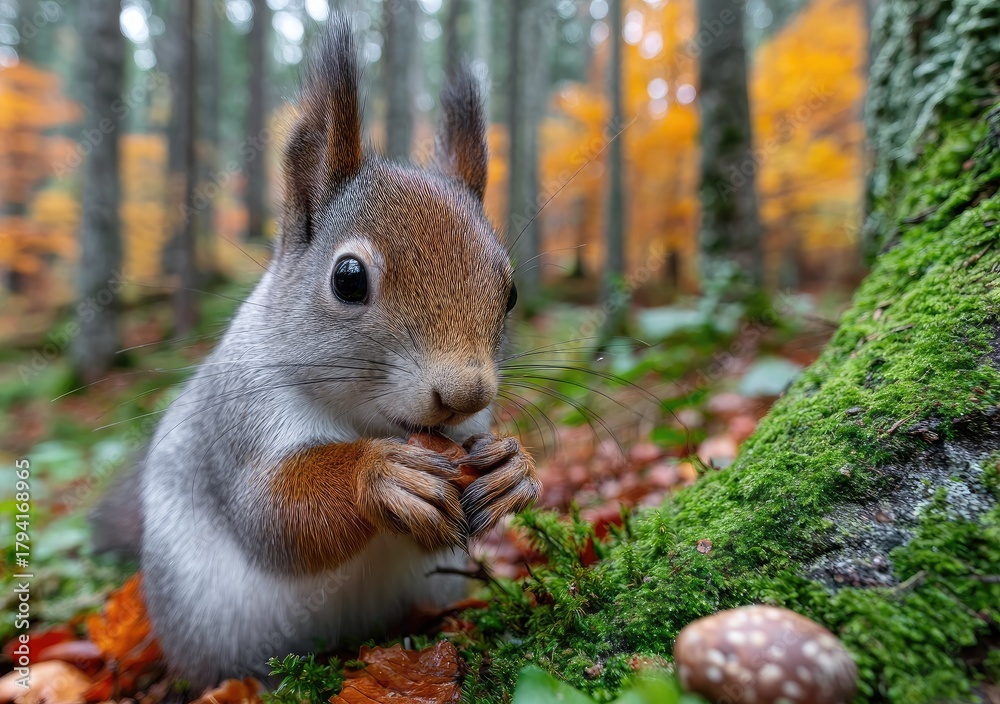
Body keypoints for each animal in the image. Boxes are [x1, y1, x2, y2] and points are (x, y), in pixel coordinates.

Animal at [92, 19, 540, 690]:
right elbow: (273, 513)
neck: (365, 420)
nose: (465, 393)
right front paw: (376, 475)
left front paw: (515, 468)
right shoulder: (244, 421)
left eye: (510, 293)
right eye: (348, 278)